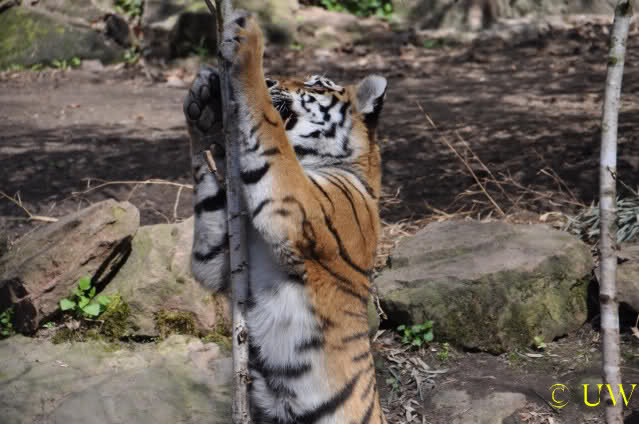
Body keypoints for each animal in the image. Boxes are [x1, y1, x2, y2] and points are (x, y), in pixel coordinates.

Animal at [183, 9, 387, 424]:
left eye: (317, 84)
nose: (274, 79)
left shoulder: (294, 205)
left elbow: (269, 125)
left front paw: (248, 42)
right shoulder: (222, 259)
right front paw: (203, 107)